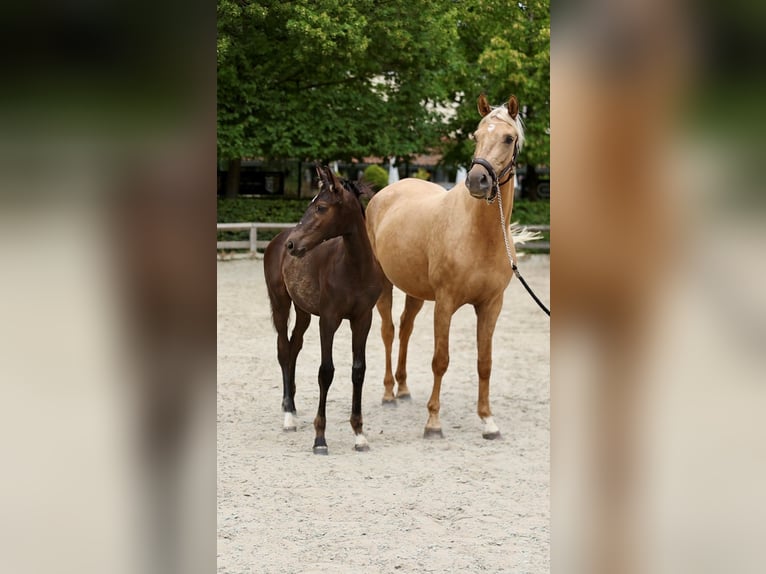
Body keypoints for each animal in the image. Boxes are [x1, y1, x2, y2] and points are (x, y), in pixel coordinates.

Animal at [264, 165, 383, 454]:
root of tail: (276, 240)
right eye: (312, 203)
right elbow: (326, 372)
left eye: (321, 207)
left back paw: (293, 408)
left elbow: (358, 370)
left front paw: (359, 435)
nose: (293, 245)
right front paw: (320, 438)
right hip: (281, 304)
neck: (355, 268)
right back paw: (288, 416)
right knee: (283, 349)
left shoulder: (363, 319)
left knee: (294, 346)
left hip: (303, 311)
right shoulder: (328, 320)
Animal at [366, 93, 525, 439]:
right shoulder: (446, 302)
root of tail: (385, 193)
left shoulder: (491, 305)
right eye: (476, 136)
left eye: (508, 138)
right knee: (388, 330)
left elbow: (484, 362)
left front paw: (487, 420)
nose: (477, 181)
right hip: (384, 282)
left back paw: (404, 389)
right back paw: (388, 393)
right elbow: (440, 360)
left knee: (406, 327)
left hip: (415, 291)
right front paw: (433, 422)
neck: (479, 234)